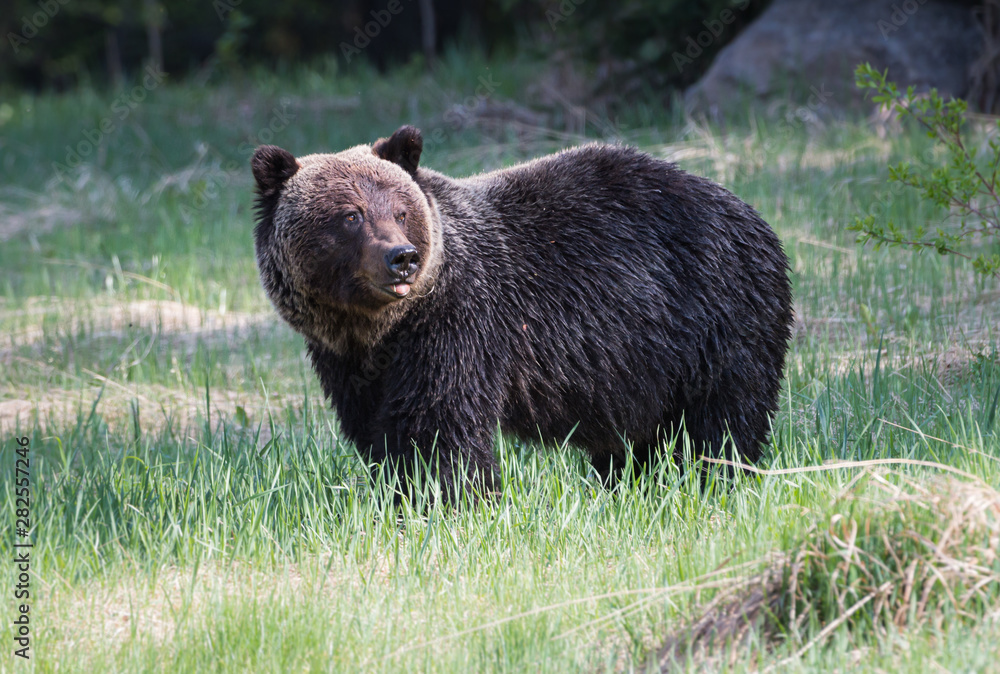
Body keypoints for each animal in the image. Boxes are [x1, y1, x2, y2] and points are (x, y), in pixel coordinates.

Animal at [254, 124, 792, 494]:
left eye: (401, 211)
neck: (382, 329)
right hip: (642, 361)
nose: (401, 257)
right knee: (637, 436)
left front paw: (446, 500)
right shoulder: (347, 361)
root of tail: (751, 213)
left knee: (722, 418)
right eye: (351, 215)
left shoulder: (459, 324)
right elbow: (374, 431)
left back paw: (713, 479)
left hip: (716, 315)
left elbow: (437, 424)